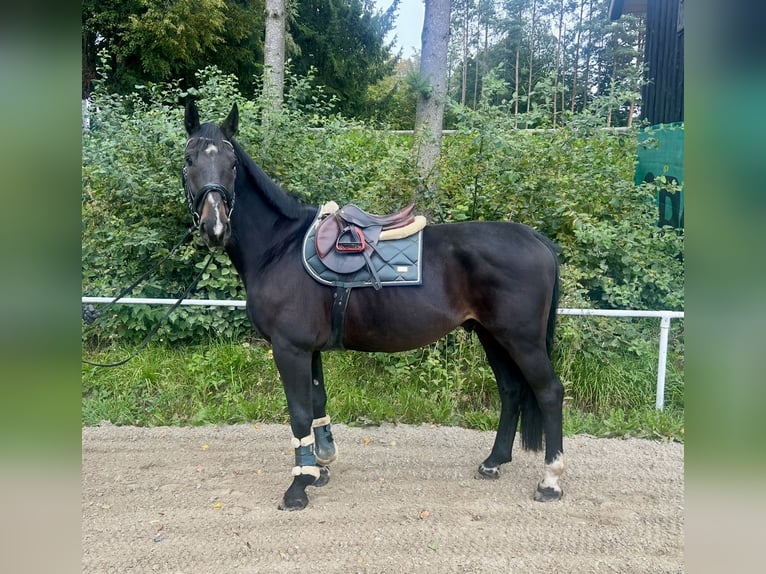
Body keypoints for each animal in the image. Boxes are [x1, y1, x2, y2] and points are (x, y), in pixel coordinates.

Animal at [182, 101, 565, 510]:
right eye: (189, 160)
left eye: (232, 163)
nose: (215, 227)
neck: (279, 246)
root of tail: (537, 239)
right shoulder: (309, 349)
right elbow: (317, 402)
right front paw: (320, 467)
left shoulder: (290, 348)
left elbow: (299, 413)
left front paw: (298, 486)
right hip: (492, 336)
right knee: (511, 391)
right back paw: (493, 462)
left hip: (522, 340)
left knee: (549, 393)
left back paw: (550, 480)